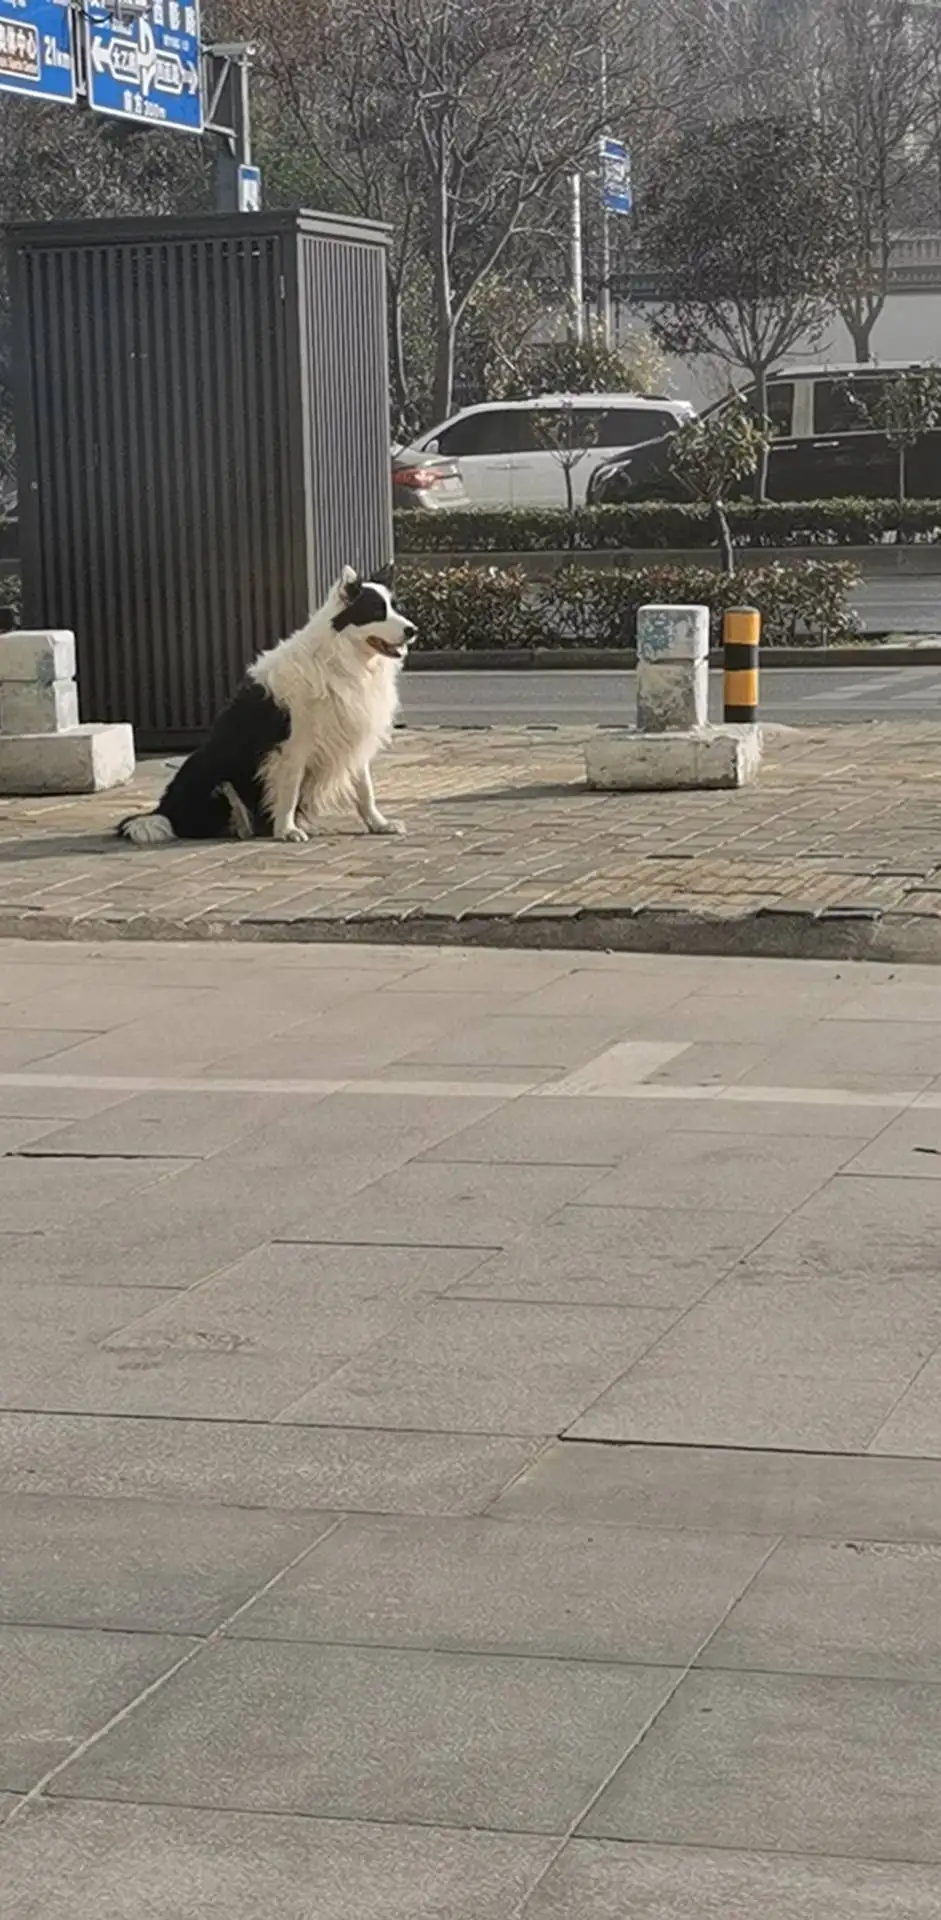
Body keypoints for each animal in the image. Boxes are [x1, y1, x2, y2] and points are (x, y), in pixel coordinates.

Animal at [116, 564, 414, 844]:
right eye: (377, 611)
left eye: (397, 608)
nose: (413, 630)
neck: (343, 660)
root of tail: (164, 810)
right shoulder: (292, 747)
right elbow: (289, 791)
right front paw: (287, 830)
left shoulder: (352, 734)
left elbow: (365, 790)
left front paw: (379, 824)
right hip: (217, 782)